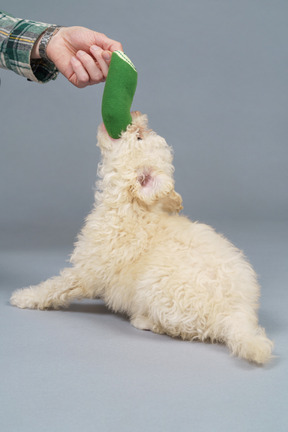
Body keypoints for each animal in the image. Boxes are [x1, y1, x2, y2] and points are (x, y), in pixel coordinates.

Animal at [10, 112, 272, 364]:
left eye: (138, 137)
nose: (138, 116)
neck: (130, 205)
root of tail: (236, 314)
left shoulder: (89, 270)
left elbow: (56, 287)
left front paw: (25, 296)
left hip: (156, 284)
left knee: (184, 330)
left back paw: (143, 320)